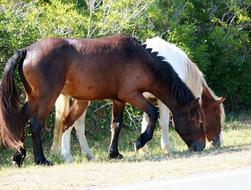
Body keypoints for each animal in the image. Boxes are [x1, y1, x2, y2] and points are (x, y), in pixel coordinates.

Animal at [0, 35, 206, 166]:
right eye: (198, 121)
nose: (201, 146)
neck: (140, 59)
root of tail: (27, 50)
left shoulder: (119, 100)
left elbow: (117, 125)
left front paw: (114, 153)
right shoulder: (132, 95)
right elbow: (153, 113)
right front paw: (140, 141)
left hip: (34, 97)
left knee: (21, 119)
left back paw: (18, 157)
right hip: (46, 97)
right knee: (35, 123)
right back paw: (41, 160)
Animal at [50, 37, 225, 163]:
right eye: (214, 118)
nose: (212, 143)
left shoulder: (140, 100)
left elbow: (140, 122)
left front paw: (139, 148)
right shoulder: (155, 100)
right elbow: (160, 121)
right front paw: (162, 147)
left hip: (82, 100)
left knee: (76, 125)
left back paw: (87, 155)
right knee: (70, 124)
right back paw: (68, 155)